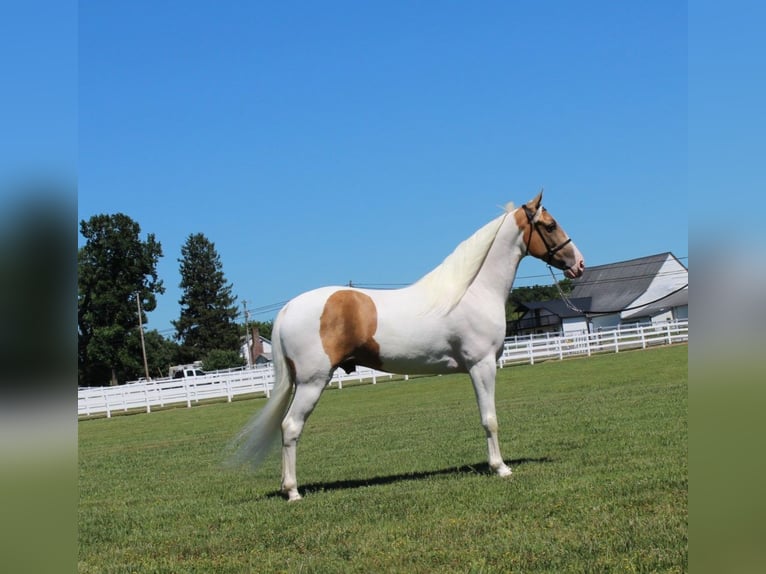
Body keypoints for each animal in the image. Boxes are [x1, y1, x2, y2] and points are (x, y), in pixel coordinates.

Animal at [231, 191, 584, 502]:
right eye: (550, 225)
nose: (578, 263)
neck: (473, 290)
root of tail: (289, 309)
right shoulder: (481, 365)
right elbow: (489, 418)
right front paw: (500, 468)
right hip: (312, 382)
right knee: (291, 427)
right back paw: (293, 492)